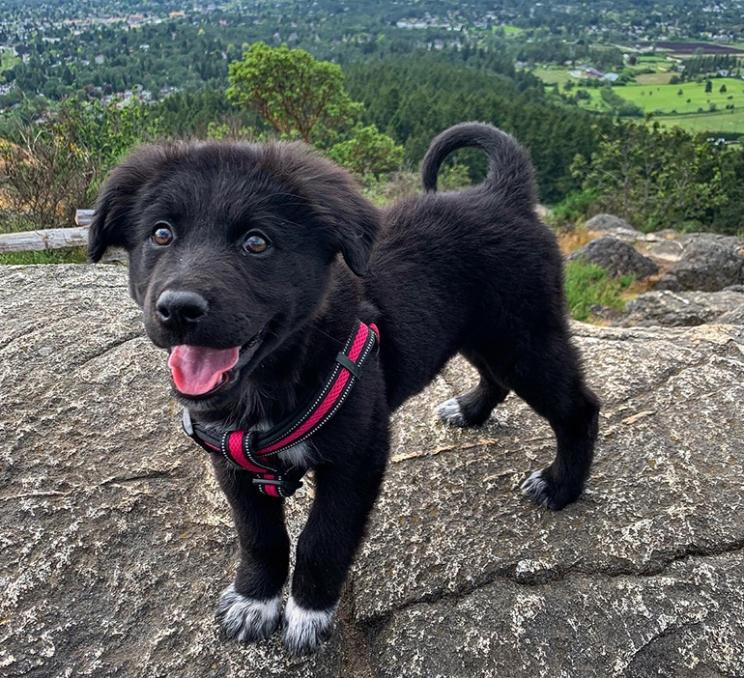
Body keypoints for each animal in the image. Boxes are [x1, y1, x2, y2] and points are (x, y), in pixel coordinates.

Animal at [88, 123, 600, 660]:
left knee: (580, 408)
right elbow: (259, 536)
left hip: (524, 340)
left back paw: (561, 485)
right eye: (161, 234)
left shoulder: (357, 459)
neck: (278, 376)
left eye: (256, 243)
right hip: (482, 335)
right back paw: (470, 409)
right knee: (497, 379)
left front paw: (308, 613)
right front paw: (255, 599)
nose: (178, 309)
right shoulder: (232, 462)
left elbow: (322, 540)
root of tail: (503, 194)